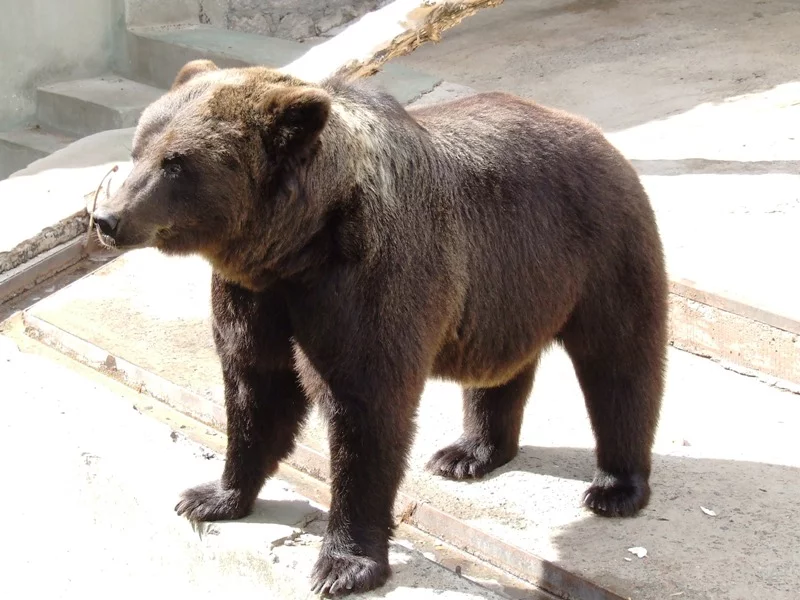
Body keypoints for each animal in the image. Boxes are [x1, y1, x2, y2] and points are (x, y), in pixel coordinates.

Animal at [92, 59, 668, 596]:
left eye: (176, 163)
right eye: (140, 147)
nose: (107, 218)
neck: (297, 247)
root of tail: (591, 130)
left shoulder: (366, 280)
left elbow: (364, 411)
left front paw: (343, 564)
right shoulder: (256, 297)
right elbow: (255, 388)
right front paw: (211, 496)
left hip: (598, 247)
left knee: (620, 360)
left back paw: (615, 486)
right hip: (510, 284)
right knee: (501, 369)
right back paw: (468, 453)